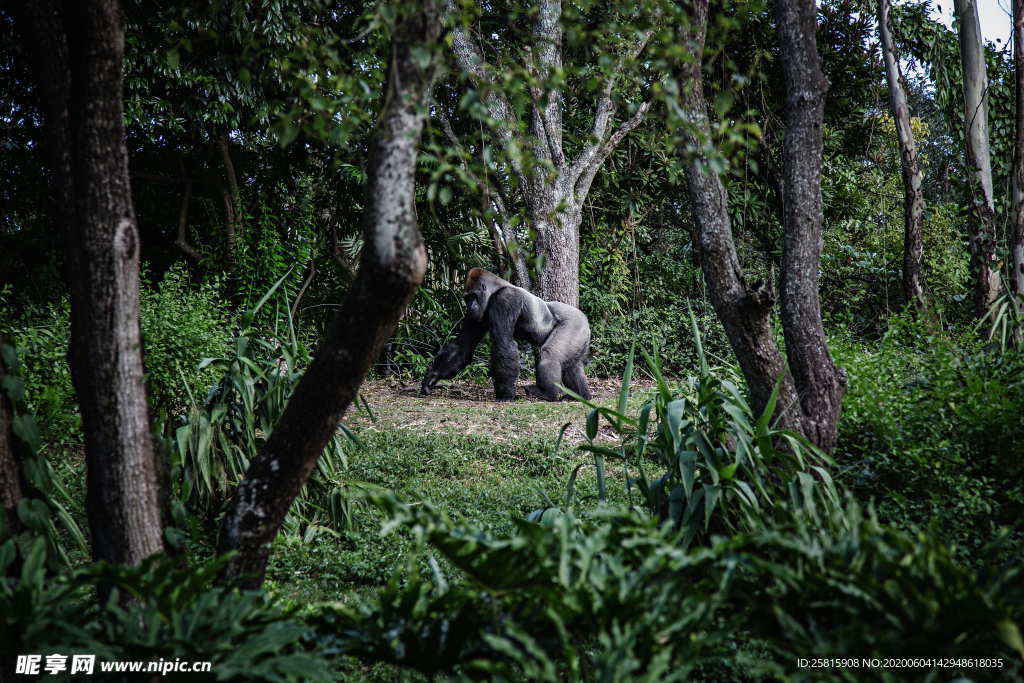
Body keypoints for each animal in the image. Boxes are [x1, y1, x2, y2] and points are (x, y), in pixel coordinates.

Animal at [417, 266, 593, 401]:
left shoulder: (505, 299)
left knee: (550, 354)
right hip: (581, 332)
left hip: (574, 323)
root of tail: (584, 318)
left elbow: (503, 342)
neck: (496, 288)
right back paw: (580, 395)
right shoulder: (476, 315)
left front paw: (506, 394)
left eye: (473, 296)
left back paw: (549, 393)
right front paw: (433, 376)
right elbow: (463, 346)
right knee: (572, 365)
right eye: (467, 298)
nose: (470, 306)